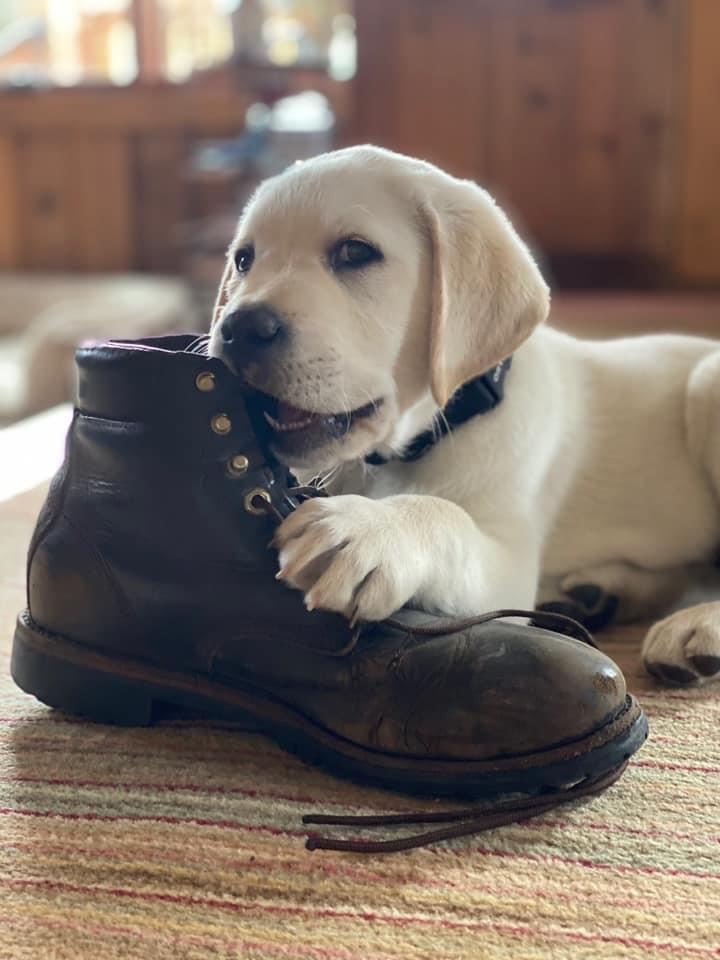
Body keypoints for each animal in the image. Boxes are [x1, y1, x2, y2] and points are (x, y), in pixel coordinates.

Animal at [208, 145, 720, 688]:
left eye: (355, 253)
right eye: (244, 259)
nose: (239, 328)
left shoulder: (509, 564)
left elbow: (445, 514)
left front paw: (370, 528)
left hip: (709, 382)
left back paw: (695, 626)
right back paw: (598, 594)